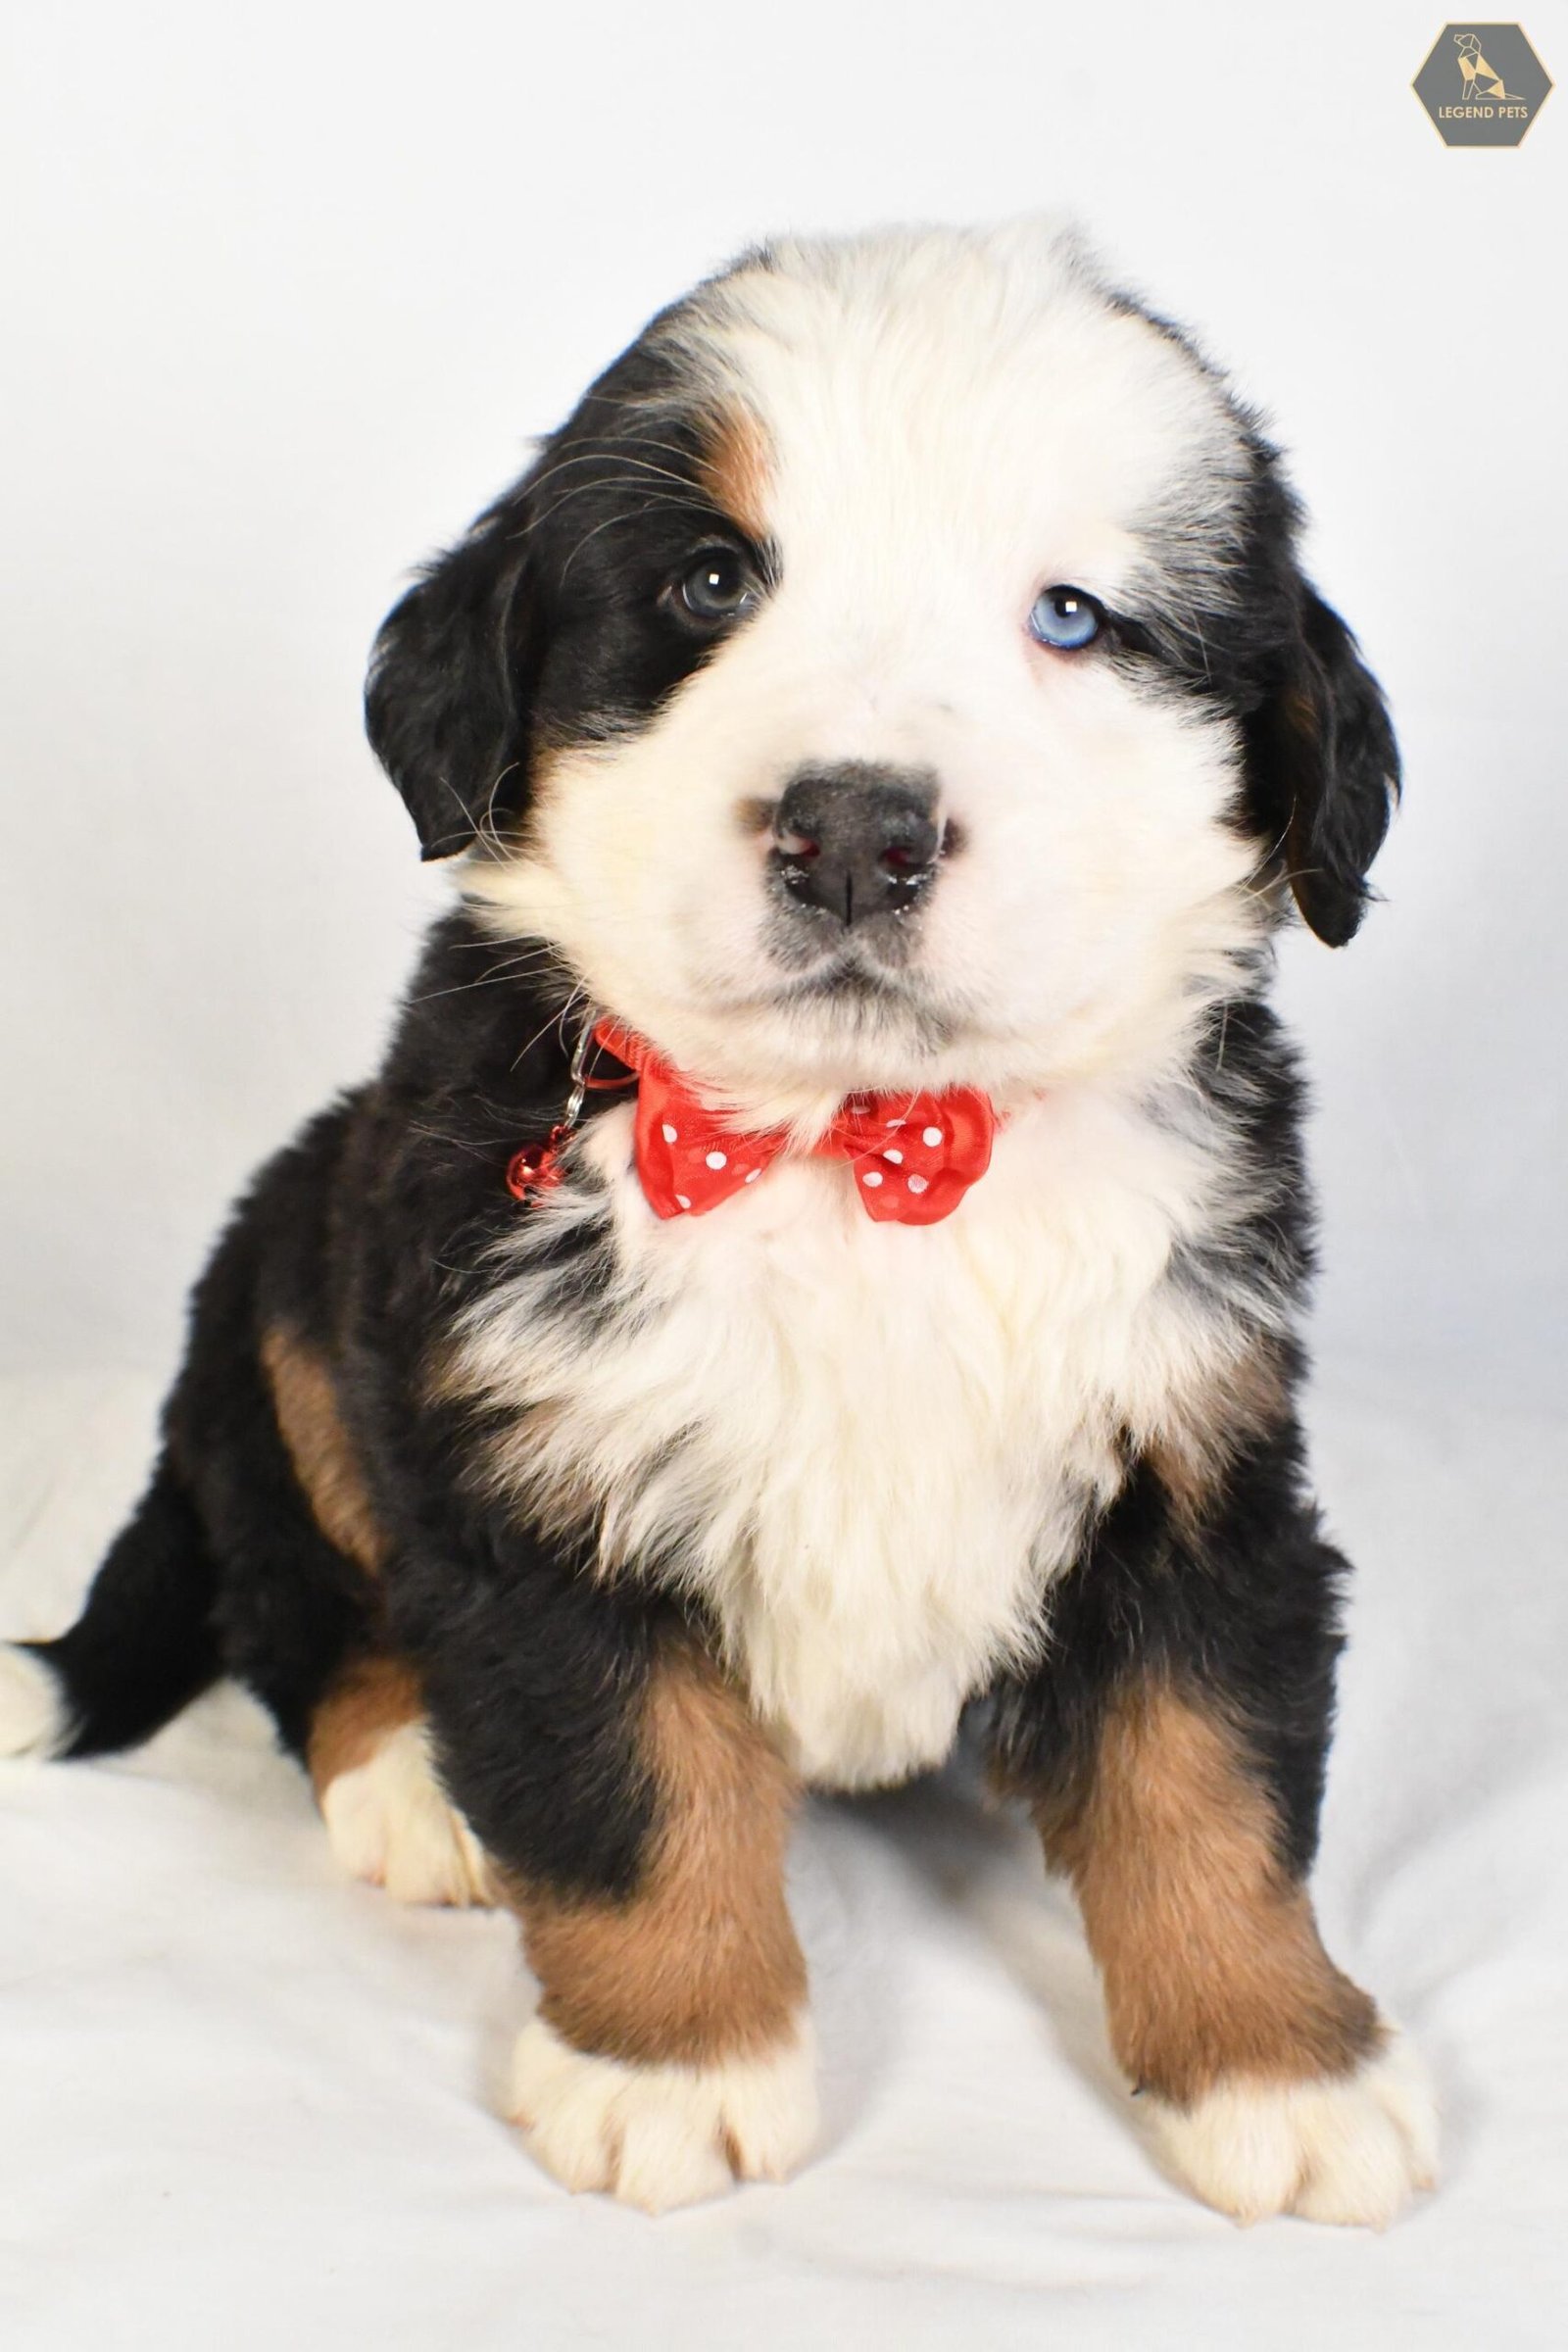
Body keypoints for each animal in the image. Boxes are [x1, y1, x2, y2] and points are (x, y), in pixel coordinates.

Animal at [0, 220, 1439, 2220]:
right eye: (707, 580)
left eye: (1075, 617)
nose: (856, 832)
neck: (856, 1150)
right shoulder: (534, 1465)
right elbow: (632, 1788)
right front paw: (673, 2063)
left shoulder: (1195, 1452)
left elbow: (1206, 1782)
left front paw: (1281, 2068)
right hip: (292, 1309)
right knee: (297, 1608)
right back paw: (416, 1783)